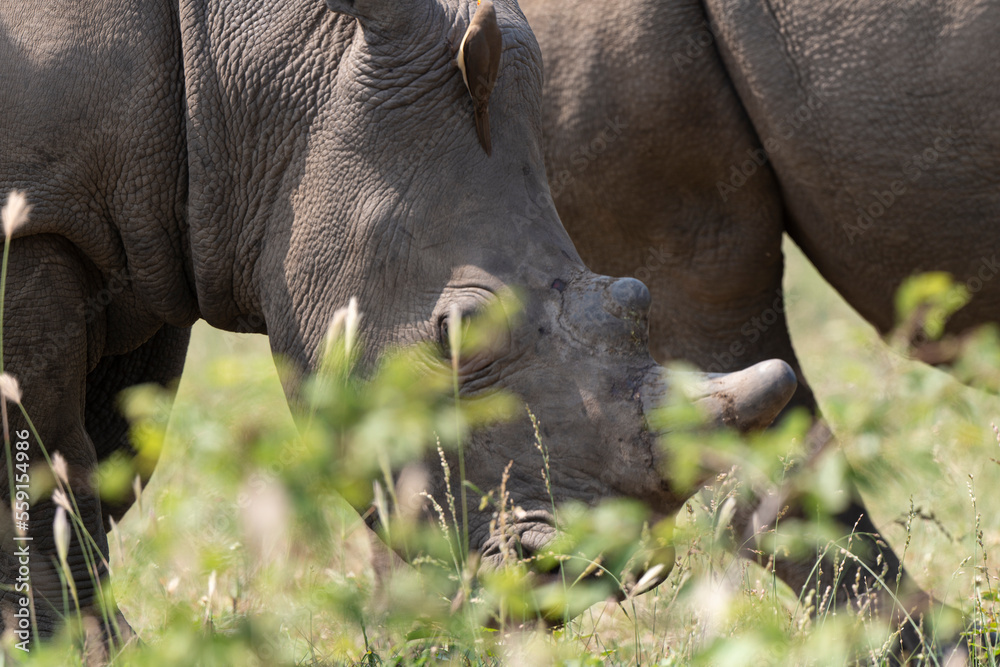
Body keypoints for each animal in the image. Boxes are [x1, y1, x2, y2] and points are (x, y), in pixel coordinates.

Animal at [0, 0, 798, 646]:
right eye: (456, 334)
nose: (572, 577)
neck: (237, 94)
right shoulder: (35, 224)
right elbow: (45, 472)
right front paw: (72, 647)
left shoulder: (144, 248)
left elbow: (105, 465)